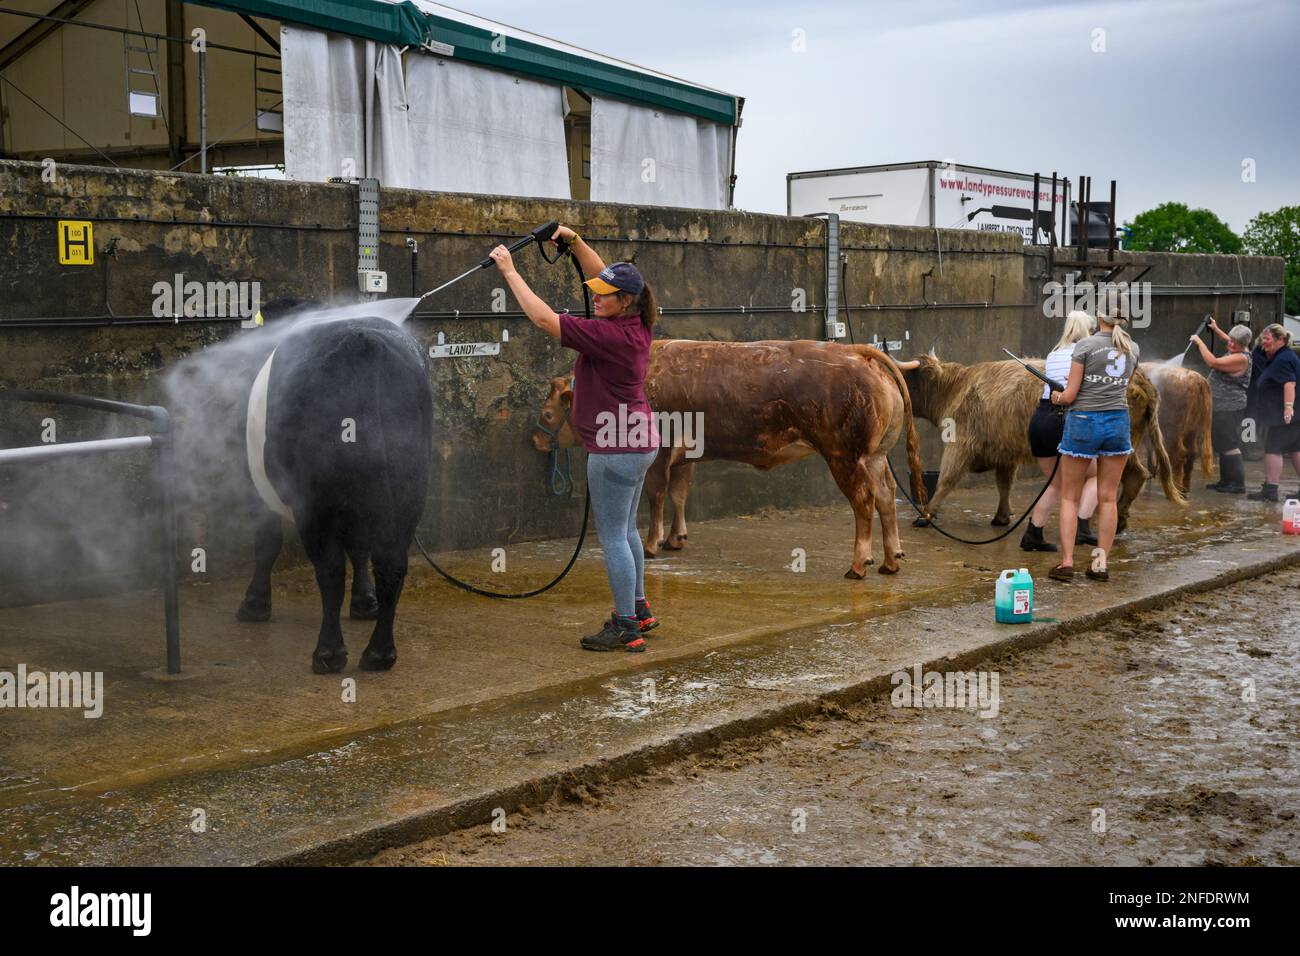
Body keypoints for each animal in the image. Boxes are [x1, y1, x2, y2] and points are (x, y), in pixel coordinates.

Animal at [533, 338, 930, 574]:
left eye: (548, 414)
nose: (537, 440)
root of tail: (860, 351)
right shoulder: (685, 455)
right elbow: (680, 494)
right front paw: (676, 538)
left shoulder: (659, 453)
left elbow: (657, 495)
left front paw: (652, 543)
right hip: (874, 457)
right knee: (886, 497)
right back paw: (891, 559)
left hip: (844, 456)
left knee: (864, 500)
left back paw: (859, 564)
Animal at [894, 356, 1190, 535]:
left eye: (907, 378)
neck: (956, 388)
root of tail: (1141, 379)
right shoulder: (1005, 452)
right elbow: (1004, 484)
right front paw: (1002, 517)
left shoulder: (961, 444)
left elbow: (947, 479)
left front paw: (926, 514)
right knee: (1134, 475)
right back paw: (1118, 518)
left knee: (1131, 475)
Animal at [1138, 361, 1216, 494]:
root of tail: (1197, 379)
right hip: (1191, 431)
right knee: (1191, 454)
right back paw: (1184, 489)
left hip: (1174, 432)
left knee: (1179, 455)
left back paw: (1176, 488)